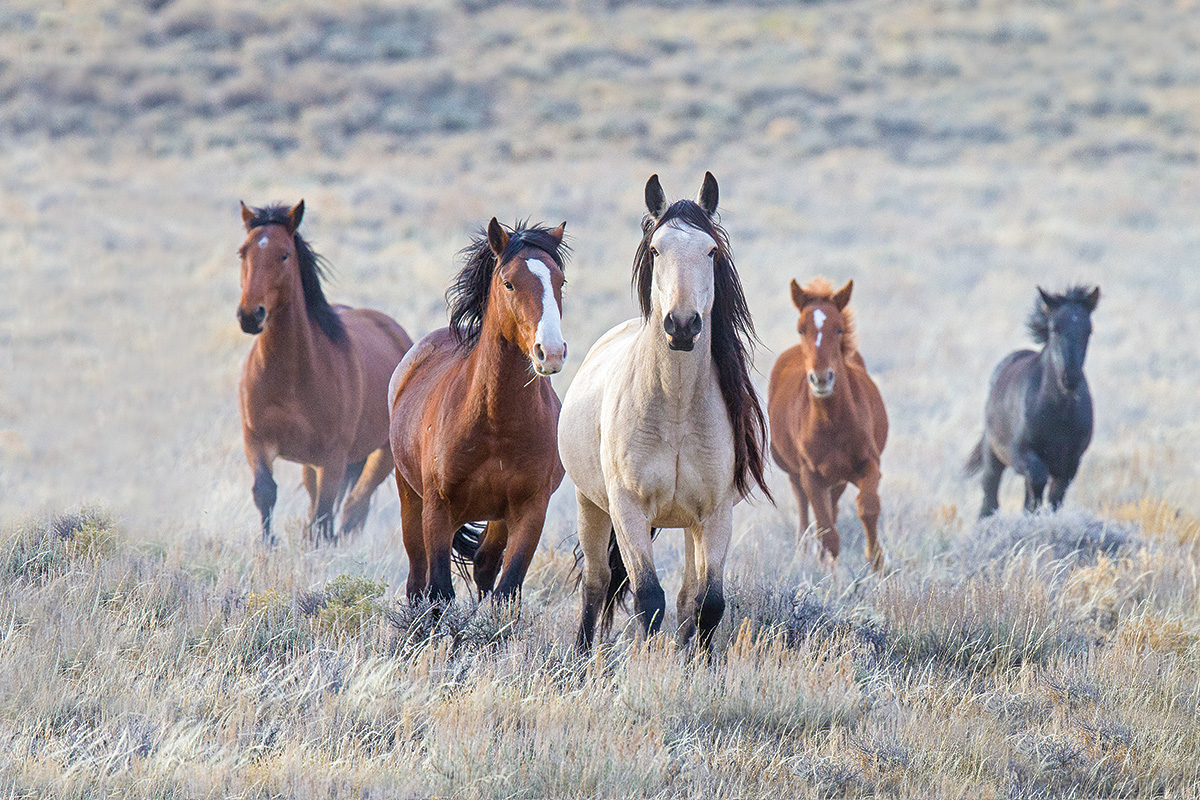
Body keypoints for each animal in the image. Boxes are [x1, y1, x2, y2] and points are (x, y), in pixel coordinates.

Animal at [234, 203, 412, 546]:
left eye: (285, 254)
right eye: (242, 252)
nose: (251, 315)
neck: (291, 376)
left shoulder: (333, 458)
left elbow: (324, 515)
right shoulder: (257, 440)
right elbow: (266, 492)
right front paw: (268, 543)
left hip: (381, 455)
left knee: (354, 505)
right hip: (311, 464)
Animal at [386, 217, 568, 599]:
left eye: (560, 281)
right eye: (508, 282)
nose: (551, 352)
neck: (496, 424)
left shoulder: (530, 512)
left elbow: (506, 590)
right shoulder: (438, 510)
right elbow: (439, 591)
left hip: (497, 519)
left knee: (485, 566)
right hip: (409, 496)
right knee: (417, 577)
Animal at [559, 173, 768, 652]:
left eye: (711, 251)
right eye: (656, 249)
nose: (683, 325)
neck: (674, 409)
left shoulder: (715, 514)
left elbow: (707, 603)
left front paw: (696, 664)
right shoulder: (628, 509)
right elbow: (647, 598)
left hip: (690, 526)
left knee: (689, 594)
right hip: (590, 505)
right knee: (596, 583)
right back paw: (581, 656)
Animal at [768, 278, 892, 573]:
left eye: (839, 328)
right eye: (801, 328)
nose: (822, 378)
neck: (832, 424)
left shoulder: (868, 464)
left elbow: (868, 507)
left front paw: (878, 562)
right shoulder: (811, 476)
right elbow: (827, 533)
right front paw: (830, 577)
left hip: (838, 478)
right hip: (796, 472)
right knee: (804, 506)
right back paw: (803, 551)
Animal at [964, 284, 1099, 515]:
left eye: (1088, 331)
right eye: (1054, 328)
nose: (1070, 378)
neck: (1059, 414)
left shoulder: (1070, 464)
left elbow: (1054, 499)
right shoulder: (1021, 454)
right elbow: (1037, 483)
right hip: (993, 456)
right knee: (990, 499)